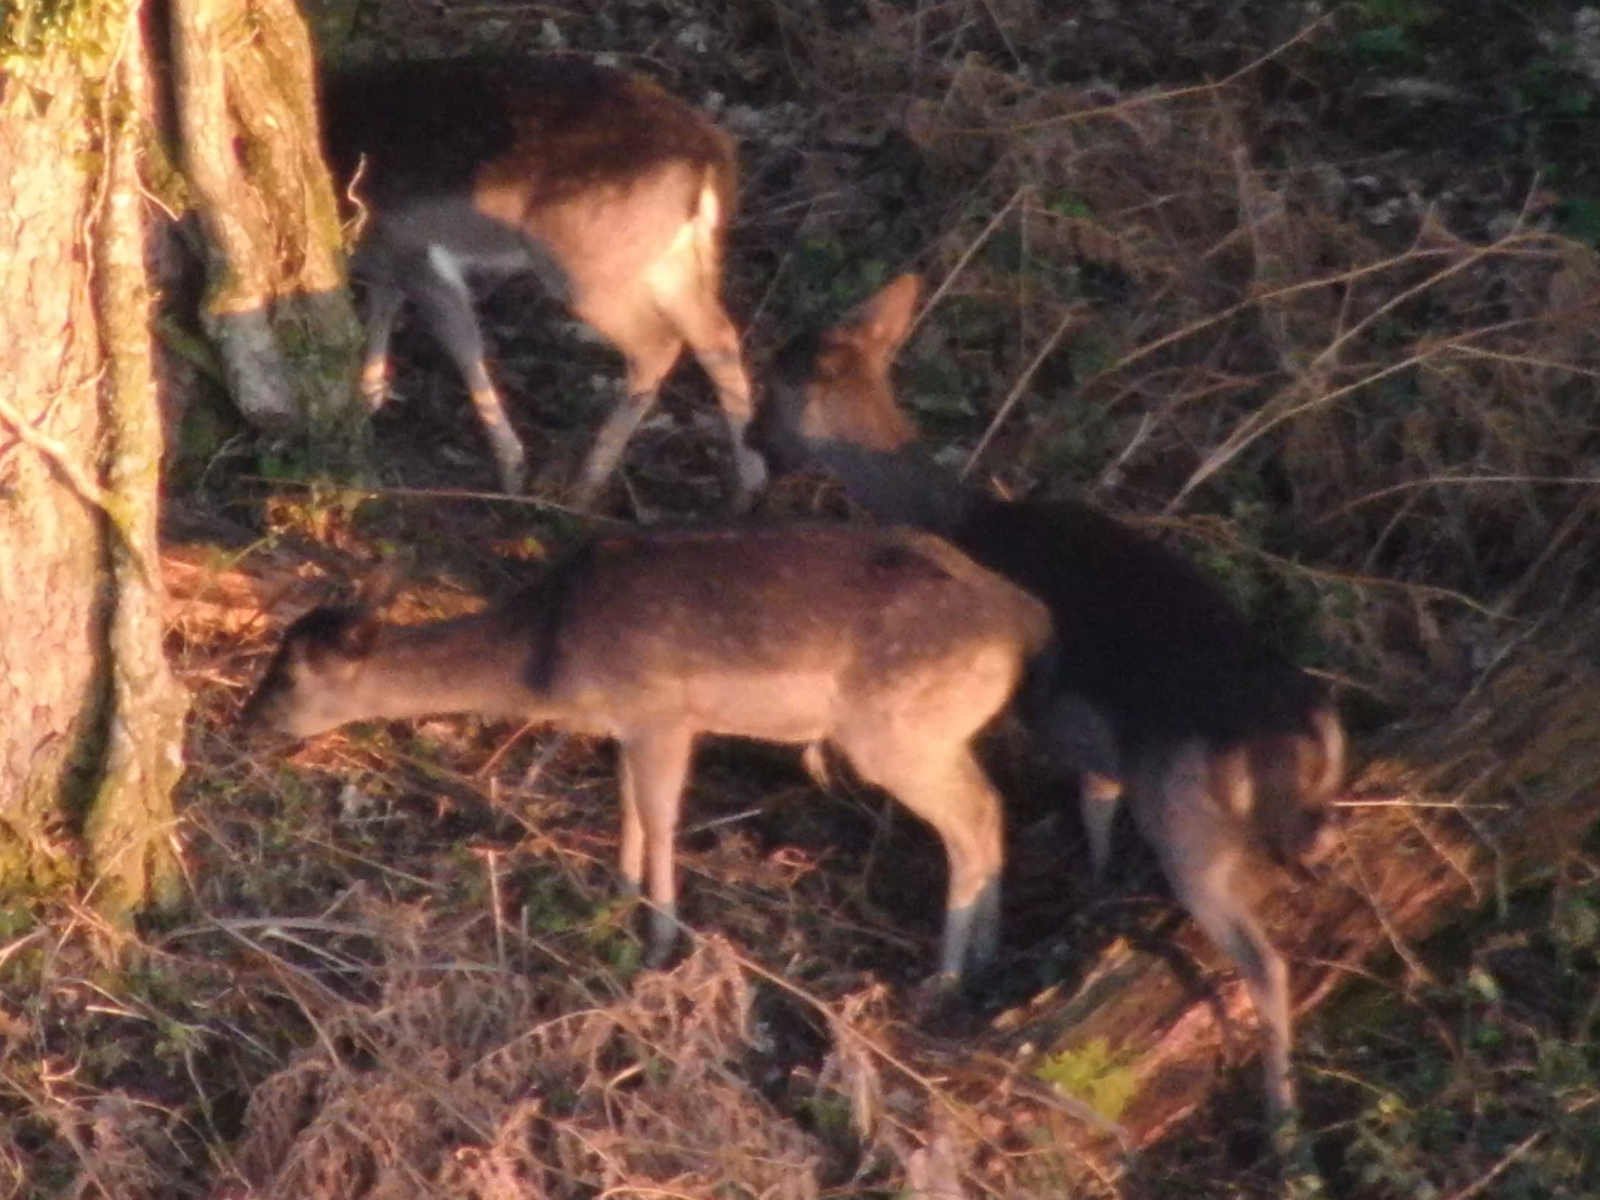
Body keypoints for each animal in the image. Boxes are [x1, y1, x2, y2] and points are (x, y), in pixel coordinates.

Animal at [241, 524, 1053, 984]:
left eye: (290, 674)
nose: (249, 719)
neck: (552, 659)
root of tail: (1026, 622)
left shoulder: (663, 713)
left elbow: (660, 817)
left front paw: (661, 939)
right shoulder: (628, 725)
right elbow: (629, 805)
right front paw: (617, 896)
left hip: (897, 730)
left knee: (972, 818)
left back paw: (946, 977)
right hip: (930, 731)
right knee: (994, 808)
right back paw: (985, 958)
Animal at [319, 57, 768, 508]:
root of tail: (711, 155)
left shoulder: (413, 247)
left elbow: (461, 344)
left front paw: (512, 468)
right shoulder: (387, 256)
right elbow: (381, 309)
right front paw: (368, 397)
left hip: (582, 259)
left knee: (658, 344)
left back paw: (587, 482)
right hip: (670, 258)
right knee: (717, 336)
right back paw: (746, 483)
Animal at [747, 274, 1346, 1124]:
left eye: (772, 385)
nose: (754, 441)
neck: (960, 516)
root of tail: (1303, 733)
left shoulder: (1040, 713)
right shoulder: (1095, 740)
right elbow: (1095, 805)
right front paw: (1092, 889)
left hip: (1190, 825)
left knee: (1266, 963)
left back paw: (1281, 1117)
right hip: (1294, 815)